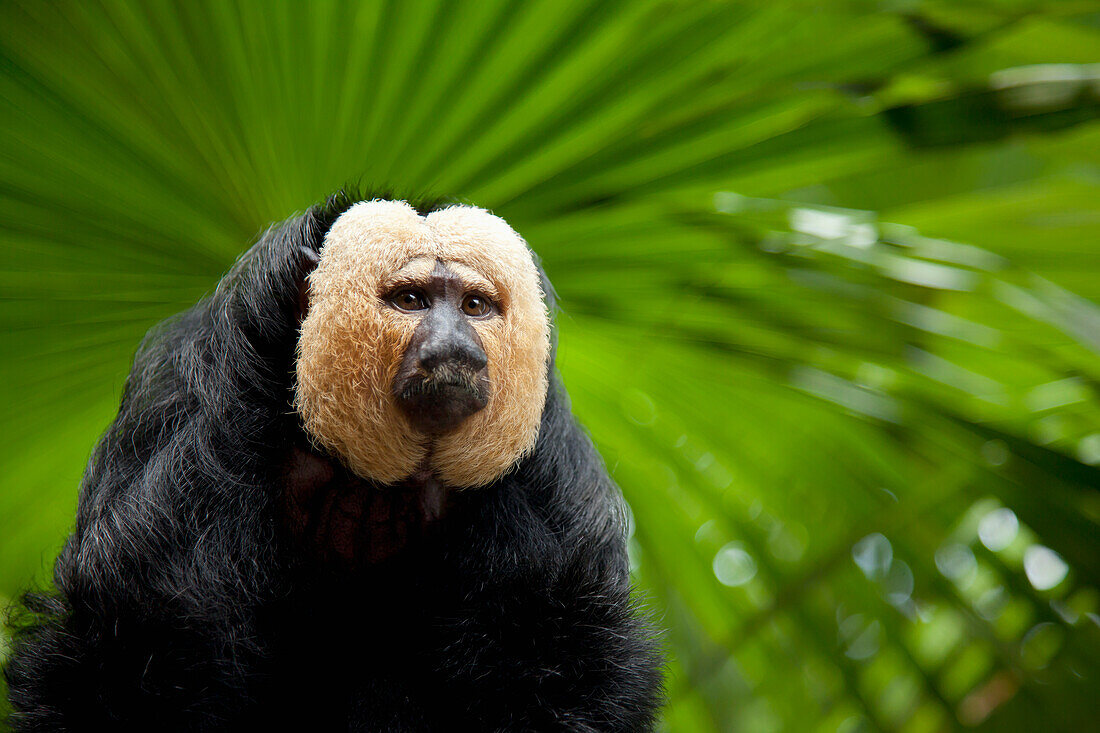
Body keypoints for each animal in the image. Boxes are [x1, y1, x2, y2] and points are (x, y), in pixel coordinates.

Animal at [2, 191, 660, 726]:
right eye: (412, 299)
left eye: (475, 306)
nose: (456, 348)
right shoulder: (203, 406)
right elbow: (143, 632)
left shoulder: (544, 462)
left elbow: (557, 656)